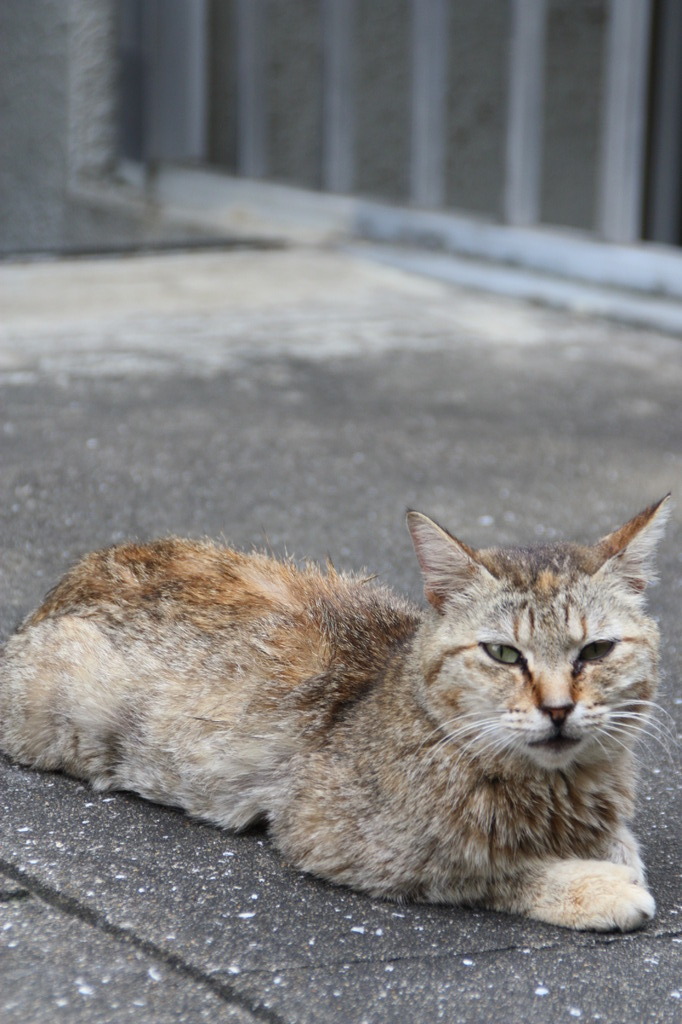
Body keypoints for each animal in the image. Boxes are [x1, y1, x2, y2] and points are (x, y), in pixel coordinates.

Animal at [0, 499, 667, 933]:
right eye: (503, 653)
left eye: (596, 651)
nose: (558, 708)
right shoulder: (334, 835)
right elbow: (489, 868)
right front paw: (593, 885)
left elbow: (616, 838)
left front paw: (609, 851)